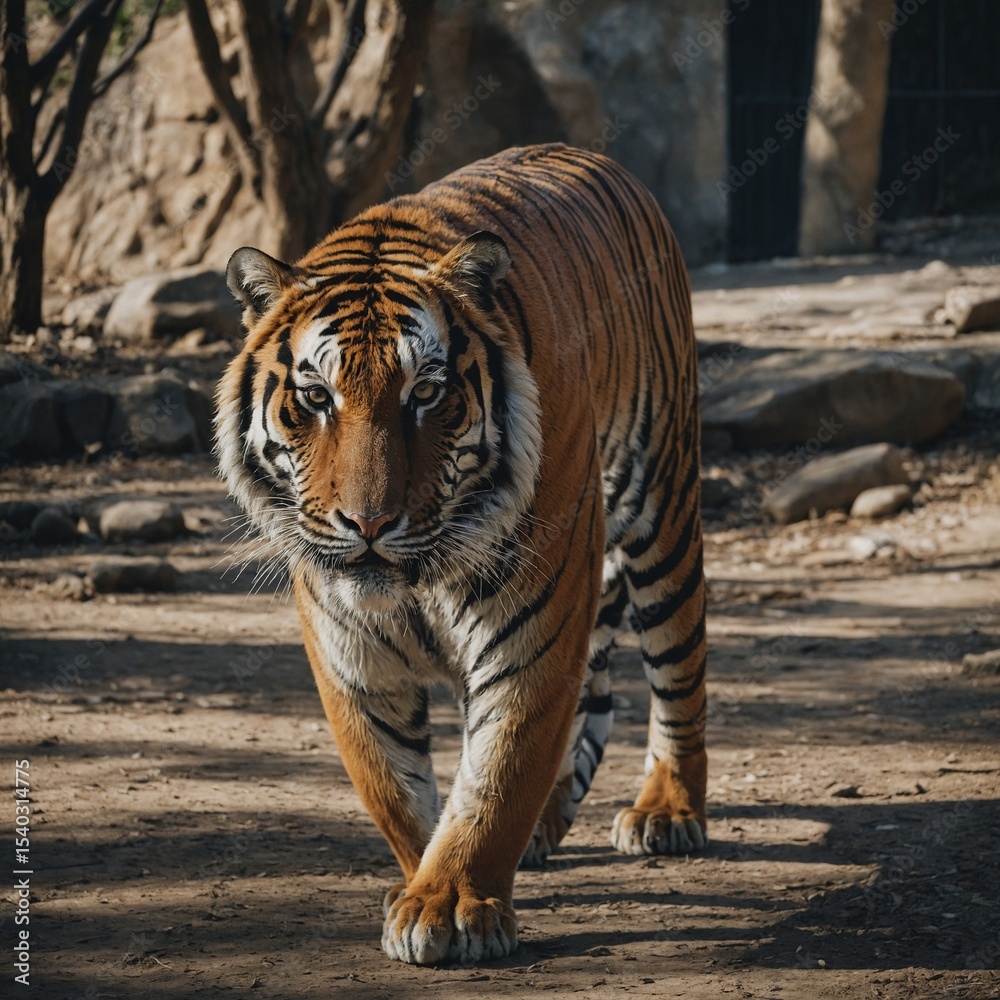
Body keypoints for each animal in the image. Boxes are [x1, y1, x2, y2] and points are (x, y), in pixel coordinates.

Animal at [216, 143, 708, 966]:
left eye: (425, 394)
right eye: (316, 398)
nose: (370, 521)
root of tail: (594, 155)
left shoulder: (534, 622)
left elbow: (499, 772)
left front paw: (446, 906)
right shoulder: (351, 652)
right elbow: (394, 785)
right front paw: (415, 885)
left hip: (660, 504)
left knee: (678, 667)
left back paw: (667, 811)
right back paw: (548, 827)